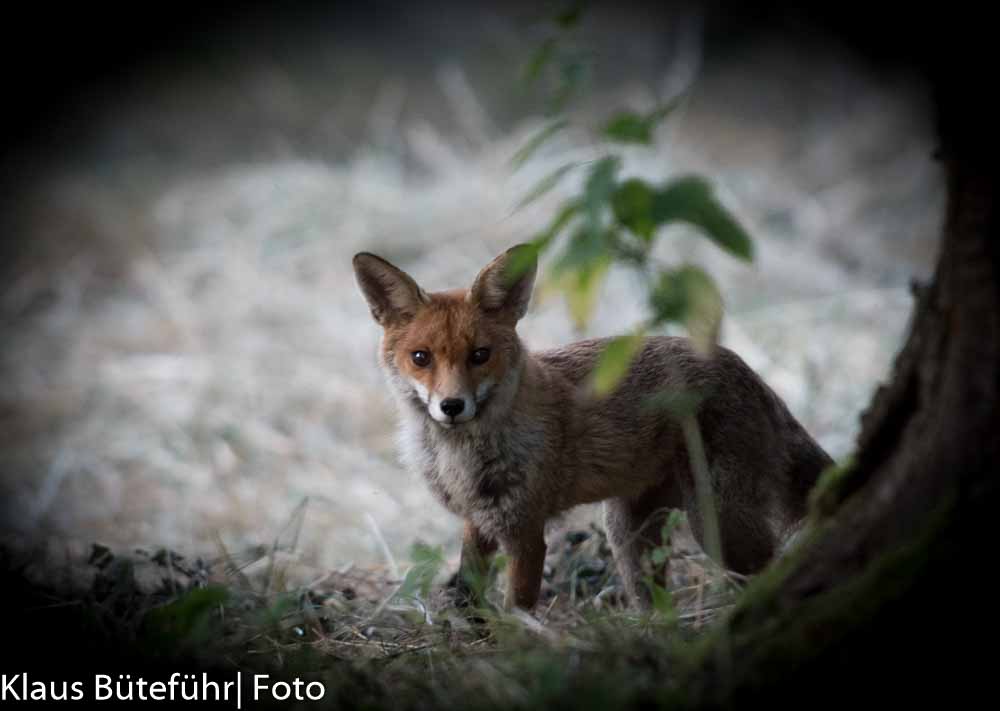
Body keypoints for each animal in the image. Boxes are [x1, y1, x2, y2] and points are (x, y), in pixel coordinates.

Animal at [354, 245, 836, 612]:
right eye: (421, 358)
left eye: (479, 355)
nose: (452, 407)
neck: (457, 458)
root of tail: (745, 368)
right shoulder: (481, 520)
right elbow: (469, 591)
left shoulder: (525, 530)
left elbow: (516, 610)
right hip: (627, 533)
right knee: (655, 601)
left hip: (716, 523)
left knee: (768, 565)